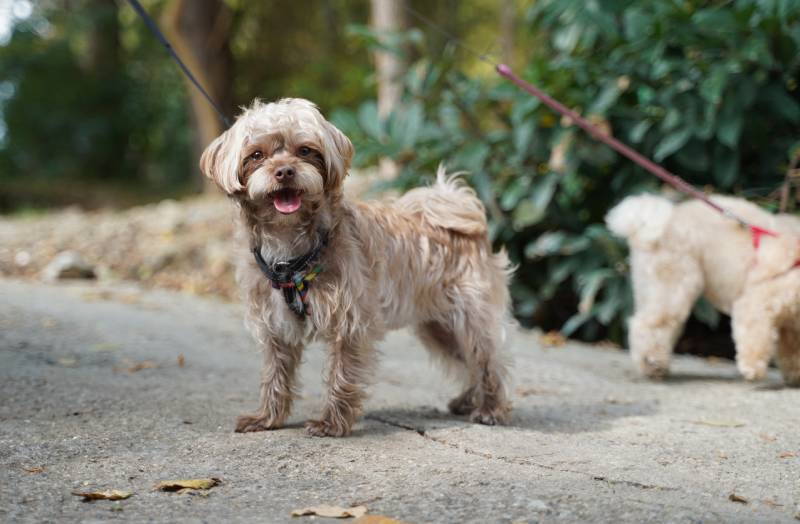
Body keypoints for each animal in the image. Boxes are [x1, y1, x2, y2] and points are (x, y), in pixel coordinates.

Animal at [200, 99, 512, 438]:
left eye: (305, 150)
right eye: (257, 155)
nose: (284, 171)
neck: (291, 248)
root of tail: (463, 215)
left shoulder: (348, 323)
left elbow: (342, 374)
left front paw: (331, 424)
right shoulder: (276, 328)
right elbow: (275, 376)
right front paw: (268, 418)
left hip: (470, 318)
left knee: (487, 360)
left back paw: (491, 408)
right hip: (439, 327)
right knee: (467, 362)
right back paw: (468, 400)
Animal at [608, 193, 800, 384]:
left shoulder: (791, 327)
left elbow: (791, 352)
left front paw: (794, 375)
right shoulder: (756, 304)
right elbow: (756, 337)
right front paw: (752, 369)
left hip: (651, 288)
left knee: (658, 325)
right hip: (675, 285)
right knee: (648, 324)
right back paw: (652, 362)